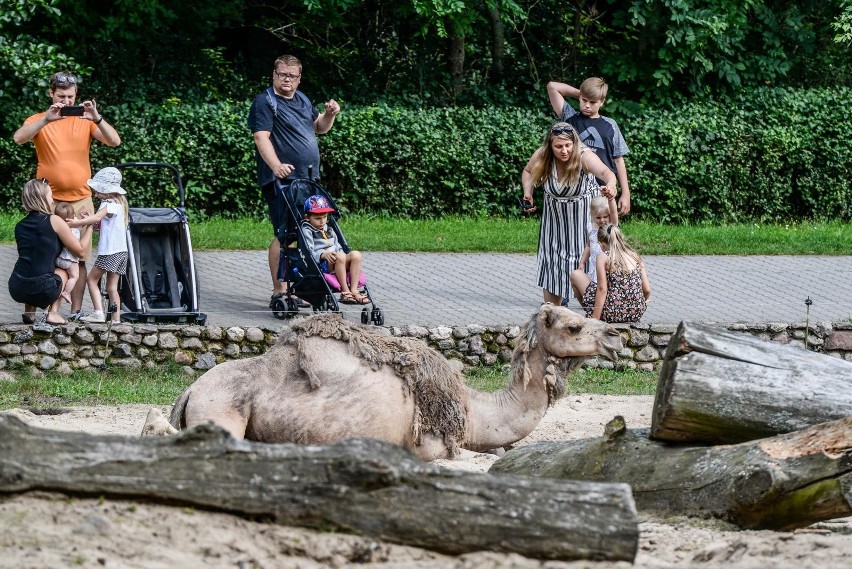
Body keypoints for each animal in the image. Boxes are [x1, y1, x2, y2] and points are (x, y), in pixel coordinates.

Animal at [143, 304, 624, 460]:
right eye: (574, 327)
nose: (617, 335)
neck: (472, 410)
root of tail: (190, 390)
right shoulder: (431, 445)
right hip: (221, 407)